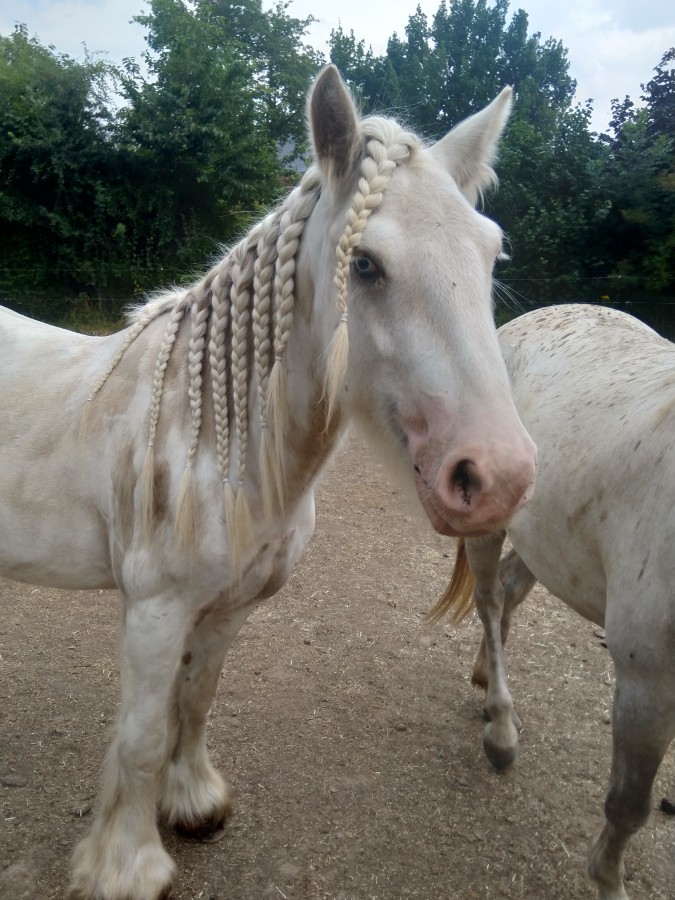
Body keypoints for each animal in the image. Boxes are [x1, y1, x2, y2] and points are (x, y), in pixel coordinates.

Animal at [0, 67, 536, 900]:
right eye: (364, 264)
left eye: (490, 255)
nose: (498, 476)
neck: (215, 437)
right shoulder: (153, 613)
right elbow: (143, 734)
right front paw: (126, 866)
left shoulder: (227, 609)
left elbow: (195, 702)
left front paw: (193, 804)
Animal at [428, 303, 675, 900]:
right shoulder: (648, 683)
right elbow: (628, 805)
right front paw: (607, 881)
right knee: (491, 600)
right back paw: (500, 731)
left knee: (511, 588)